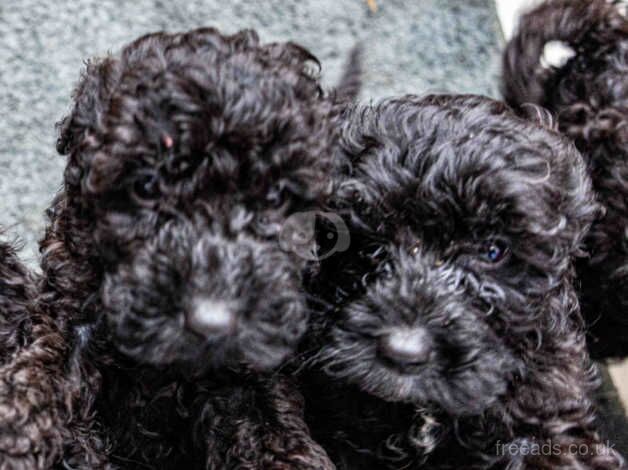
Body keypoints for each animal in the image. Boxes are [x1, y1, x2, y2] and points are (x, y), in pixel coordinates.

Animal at [14, 27, 350, 468]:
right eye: (146, 186)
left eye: (276, 197)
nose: (211, 322)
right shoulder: (71, 307)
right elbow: (41, 378)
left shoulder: (251, 367)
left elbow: (274, 427)